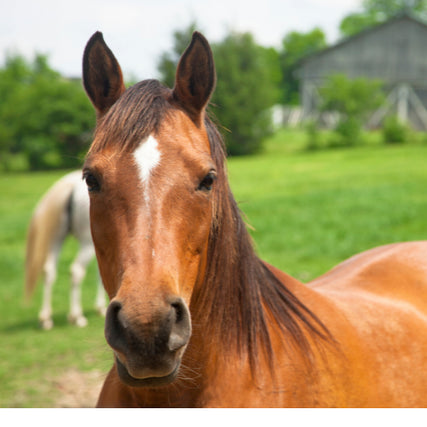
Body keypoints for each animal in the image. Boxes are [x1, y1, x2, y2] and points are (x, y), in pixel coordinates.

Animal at [25, 171, 106, 332]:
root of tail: (70, 186)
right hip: (87, 243)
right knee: (76, 271)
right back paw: (77, 316)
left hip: (56, 239)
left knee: (49, 271)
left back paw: (46, 319)